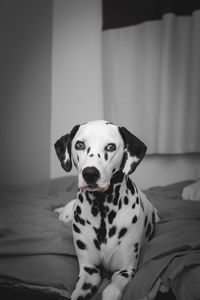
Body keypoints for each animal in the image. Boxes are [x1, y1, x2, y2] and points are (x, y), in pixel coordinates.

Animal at [54, 119, 159, 300]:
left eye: (110, 147)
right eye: (79, 144)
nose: (90, 173)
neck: (103, 209)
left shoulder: (125, 271)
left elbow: (111, 290)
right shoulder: (89, 272)